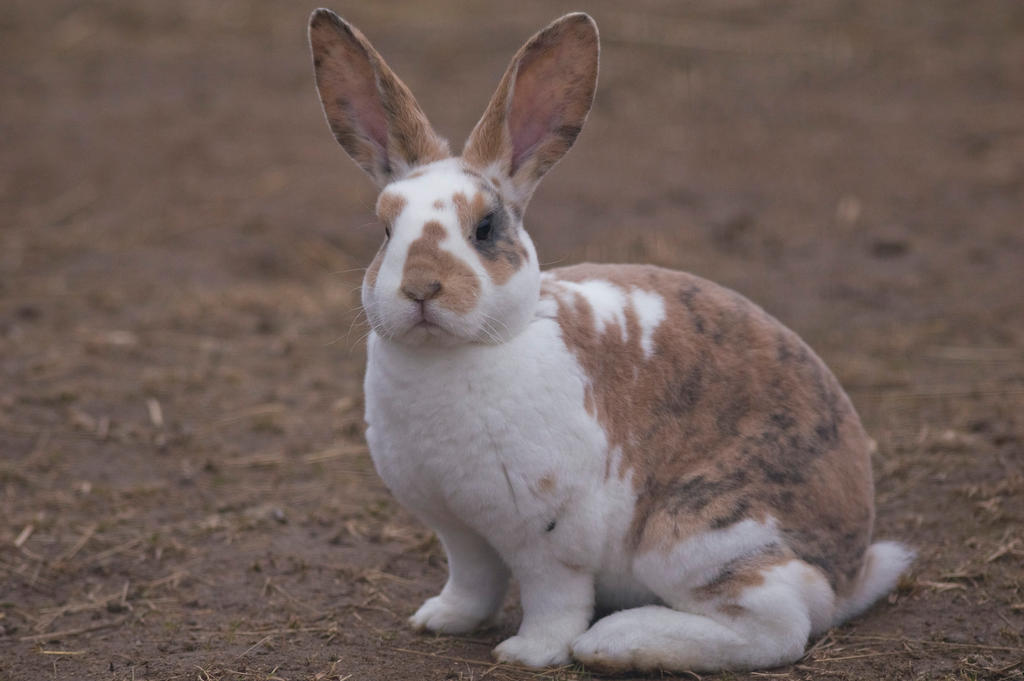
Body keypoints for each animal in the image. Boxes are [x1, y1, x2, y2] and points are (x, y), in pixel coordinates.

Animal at [308, 8, 913, 673]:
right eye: (385, 230)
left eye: (486, 229)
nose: (421, 288)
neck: (466, 351)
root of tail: (849, 568)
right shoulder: (460, 531)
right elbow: (473, 581)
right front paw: (440, 620)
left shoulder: (549, 537)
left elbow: (553, 598)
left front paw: (528, 653)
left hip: (695, 536)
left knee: (777, 625)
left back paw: (615, 642)